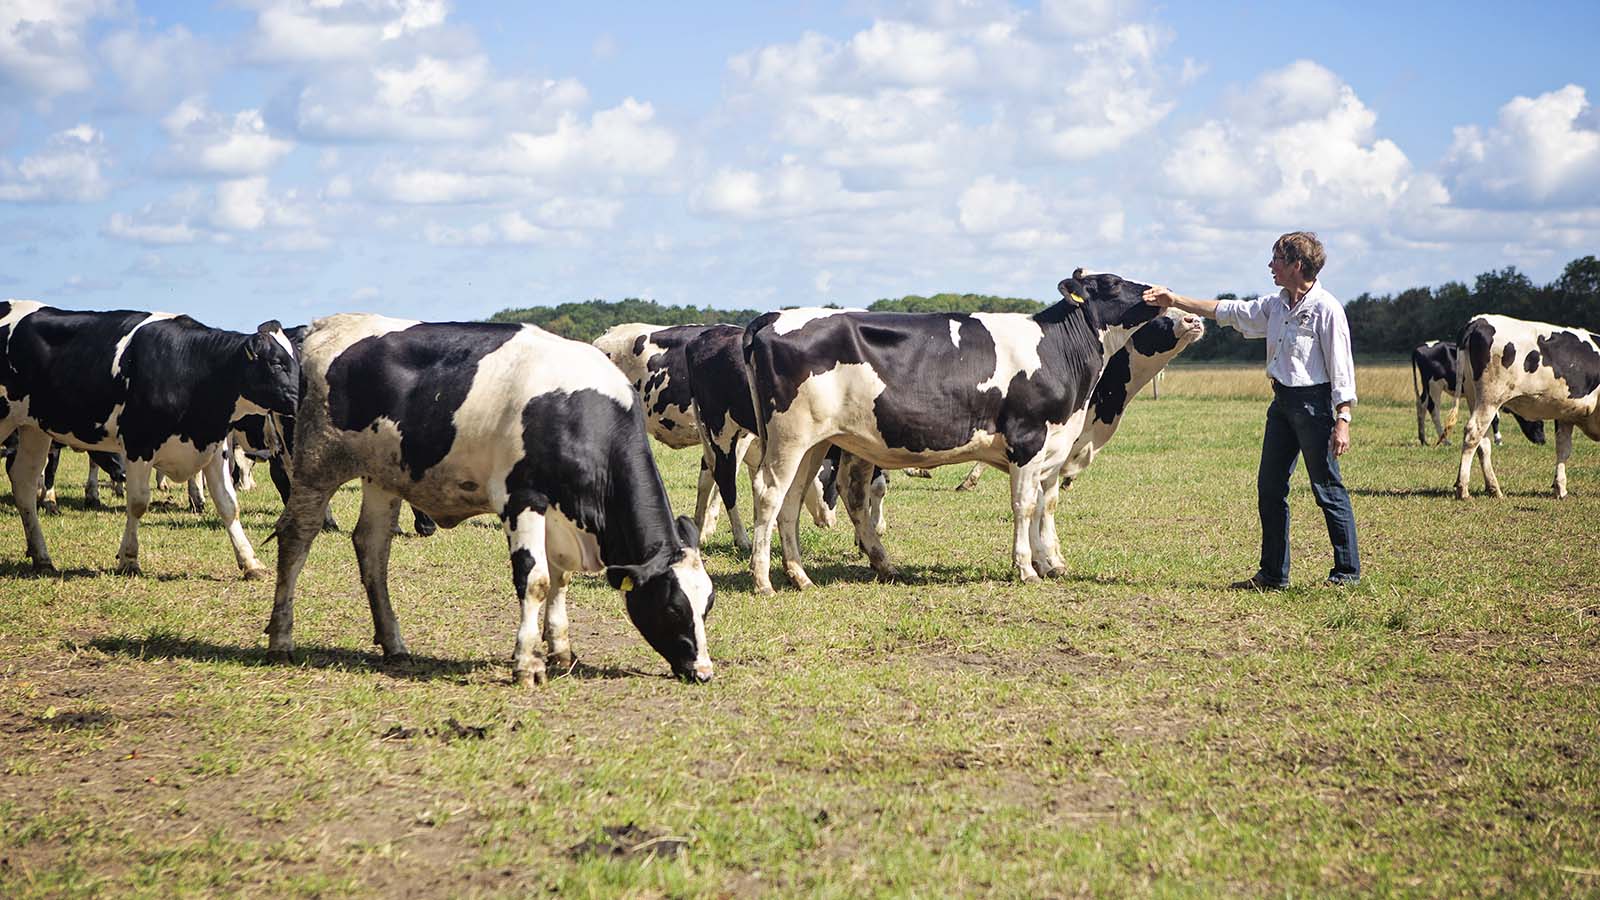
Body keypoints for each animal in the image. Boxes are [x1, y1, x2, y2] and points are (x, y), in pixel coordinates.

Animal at [0, 301, 297, 573]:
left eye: (295, 360)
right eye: (276, 363)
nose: (303, 396)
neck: (197, 368)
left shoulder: (214, 446)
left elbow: (228, 504)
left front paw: (250, 562)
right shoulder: (138, 444)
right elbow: (138, 502)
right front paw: (129, 559)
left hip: (34, 430)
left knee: (24, 482)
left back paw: (42, 558)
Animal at [265, 312, 716, 682]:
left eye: (707, 605)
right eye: (674, 607)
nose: (703, 672)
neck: (575, 413)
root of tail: (327, 326)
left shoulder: (559, 515)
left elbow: (560, 579)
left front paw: (562, 650)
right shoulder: (523, 498)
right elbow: (535, 580)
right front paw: (528, 664)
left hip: (383, 474)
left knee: (372, 548)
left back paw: (394, 644)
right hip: (317, 463)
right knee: (296, 537)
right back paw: (281, 640)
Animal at [736, 265, 1164, 592]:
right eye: (1112, 282)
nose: (1154, 292)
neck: (1056, 348)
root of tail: (773, 317)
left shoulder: (1052, 446)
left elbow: (1046, 503)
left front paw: (1048, 563)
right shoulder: (1027, 440)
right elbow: (1024, 505)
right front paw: (1026, 568)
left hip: (814, 443)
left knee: (794, 500)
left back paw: (803, 576)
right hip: (789, 437)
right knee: (769, 495)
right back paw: (763, 580)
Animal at [1452, 313, 1600, 496]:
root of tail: (1478, 320)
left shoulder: (1566, 414)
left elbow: (1563, 448)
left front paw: (1560, 488)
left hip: (1474, 397)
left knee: (1483, 442)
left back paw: (1493, 488)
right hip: (1491, 398)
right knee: (1473, 433)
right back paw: (1463, 489)